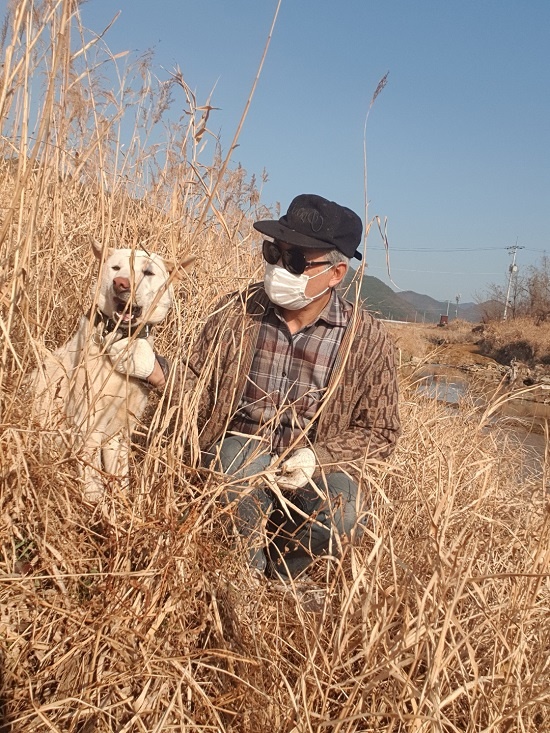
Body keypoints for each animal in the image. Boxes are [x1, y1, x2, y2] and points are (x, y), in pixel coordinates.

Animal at [33, 243, 194, 500]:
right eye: (116, 268)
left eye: (148, 272)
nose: (121, 283)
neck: (122, 336)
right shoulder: (87, 430)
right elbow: (94, 486)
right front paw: (96, 509)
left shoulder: (119, 435)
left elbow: (121, 482)